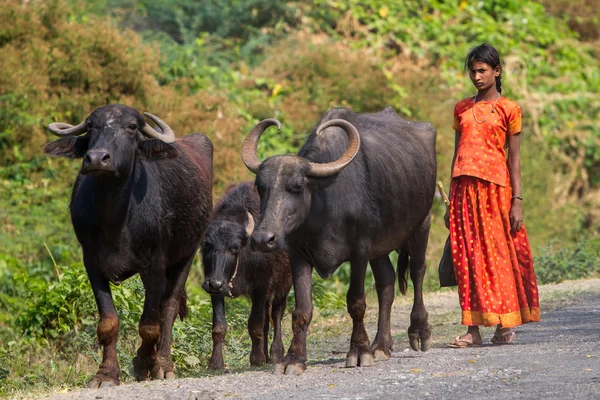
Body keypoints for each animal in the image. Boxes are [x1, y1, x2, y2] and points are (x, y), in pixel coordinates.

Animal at [44, 104, 213, 388]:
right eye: (91, 125)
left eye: (132, 127)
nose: (97, 158)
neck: (115, 219)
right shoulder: (92, 263)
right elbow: (108, 322)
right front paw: (106, 374)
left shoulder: (154, 265)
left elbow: (150, 324)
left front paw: (145, 364)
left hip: (187, 255)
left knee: (168, 308)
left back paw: (164, 364)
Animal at [200, 181, 292, 368]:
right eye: (206, 244)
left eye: (235, 247)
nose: (215, 283)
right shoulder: (216, 290)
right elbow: (219, 326)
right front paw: (216, 363)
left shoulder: (261, 287)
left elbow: (255, 324)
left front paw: (257, 359)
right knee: (267, 319)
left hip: (284, 282)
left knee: (277, 313)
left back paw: (275, 354)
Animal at [240, 106, 436, 376]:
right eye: (261, 186)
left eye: (297, 185)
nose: (262, 239)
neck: (324, 208)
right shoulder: (297, 254)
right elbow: (301, 310)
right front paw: (294, 359)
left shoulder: (360, 250)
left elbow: (356, 302)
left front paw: (359, 351)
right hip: (380, 248)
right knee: (386, 282)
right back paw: (381, 345)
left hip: (422, 224)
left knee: (417, 272)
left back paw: (419, 331)